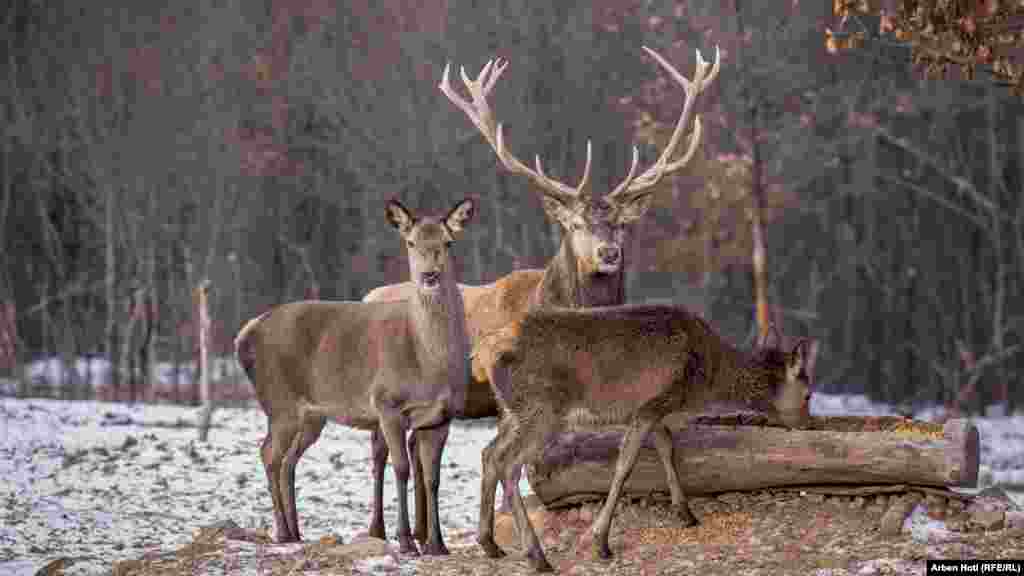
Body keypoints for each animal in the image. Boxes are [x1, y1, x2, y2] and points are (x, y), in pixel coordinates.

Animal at [237, 195, 477, 553]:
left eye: (448, 242)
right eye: (410, 242)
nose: (430, 276)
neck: (428, 362)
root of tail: (246, 334)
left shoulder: (442, 416)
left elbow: (433, 478)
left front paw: (438, 545)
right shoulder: (387, 403)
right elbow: (403, 468)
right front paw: (406, 541)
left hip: (312, 416)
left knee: (288, 459)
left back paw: (295, 531)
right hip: (279, 402)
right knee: (268, 453)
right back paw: (281, 532)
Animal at [362, 43, 720, 537]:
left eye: (621, 224)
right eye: (575, 224)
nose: (608, 252)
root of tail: (366, 296)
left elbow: (659, 435)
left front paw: (685, 510)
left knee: (416, 452)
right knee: (382, 451)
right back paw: (384, 531)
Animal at [477, 307, 815, 565]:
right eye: (808, 394)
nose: (808, 423)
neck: (705, 381)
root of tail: (484, 354)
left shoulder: (656, 415)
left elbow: (667, 448)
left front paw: (685, 513)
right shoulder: (651, 405)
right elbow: (625, 466)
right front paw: (601, 542)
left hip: (512, 412)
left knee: (489, 453)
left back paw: (490, 544)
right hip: (542, 410)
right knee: (510, 464)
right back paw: (537, 556)